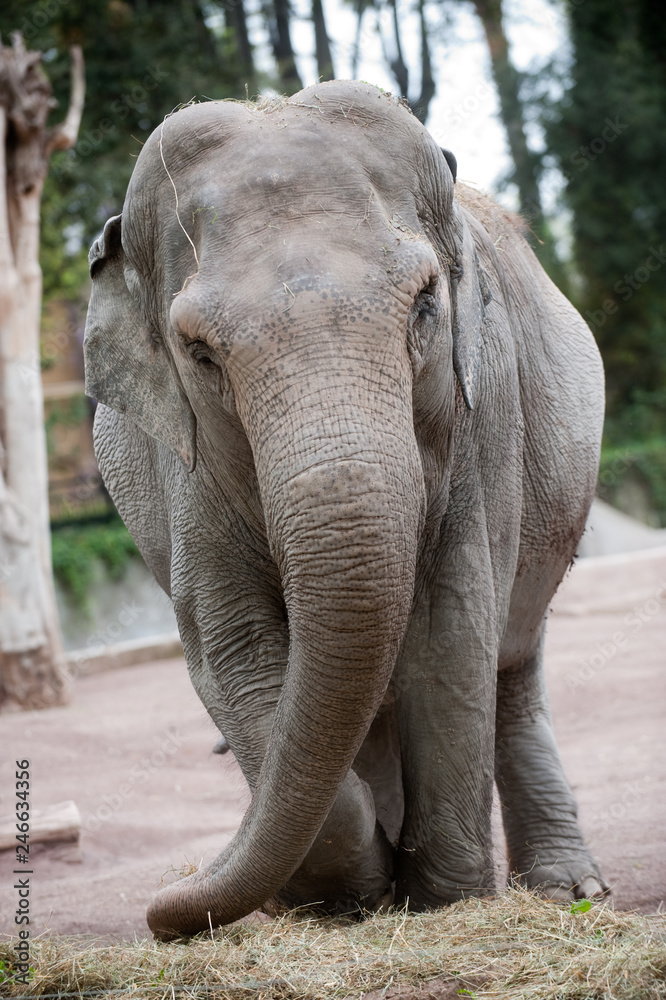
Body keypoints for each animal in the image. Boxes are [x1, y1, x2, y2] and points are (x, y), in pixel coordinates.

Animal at [83, 80, 608, 940]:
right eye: (200, 353)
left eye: (425, 305)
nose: (158, 916)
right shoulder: (184, 468)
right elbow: (230, 643)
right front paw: (347, 895)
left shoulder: (483, 415)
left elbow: (454, 628)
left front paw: (440, 901)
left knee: (512, 659)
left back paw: (569, 892)